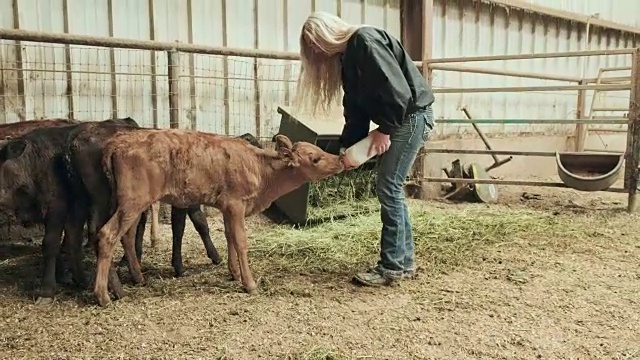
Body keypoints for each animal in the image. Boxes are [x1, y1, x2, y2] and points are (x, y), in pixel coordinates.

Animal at [92, 131, 342, 306]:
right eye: (316, 158)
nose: (339, 158)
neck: (260, 169)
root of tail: (119, 141)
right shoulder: (236, 204)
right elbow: (240, 241)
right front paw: (249, 283)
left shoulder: (227, 208)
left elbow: (229, 236)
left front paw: (234, 272)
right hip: (133, 201)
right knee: (107, 234)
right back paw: (103, 296)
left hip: (133, 204)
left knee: (126, 236)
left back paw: (138, 277)